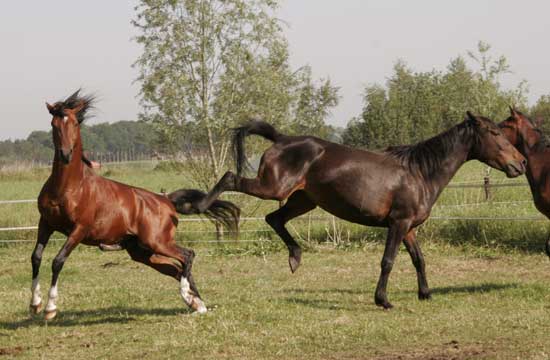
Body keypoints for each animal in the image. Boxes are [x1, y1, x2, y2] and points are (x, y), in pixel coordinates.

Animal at [30, 91, 239, 320]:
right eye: (54, 124)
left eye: (75, 123)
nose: (65, 154)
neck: (69, 187)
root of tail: (166, 200)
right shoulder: (45, 224)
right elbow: (36, 257)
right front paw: (35, 304)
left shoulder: (78, 230)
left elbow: (58, 261)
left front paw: (50, 308)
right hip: (143, 252)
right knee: (177, 268)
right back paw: (197, 304)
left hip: (158, 242)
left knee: (187, 256)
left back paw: (189, 296)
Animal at [185, 113, 528, 310]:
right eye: (495, 134)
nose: (521, 163)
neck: (419, 172)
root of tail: (282, 139)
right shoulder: (398, 223)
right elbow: (388, 261)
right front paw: (383, 300)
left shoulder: (410, 227)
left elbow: (419, 259)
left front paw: (426, 294)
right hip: (274, 188)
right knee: (231, 178)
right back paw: (201, 205)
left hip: (302, 200)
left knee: (274, 218)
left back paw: (295, 257)